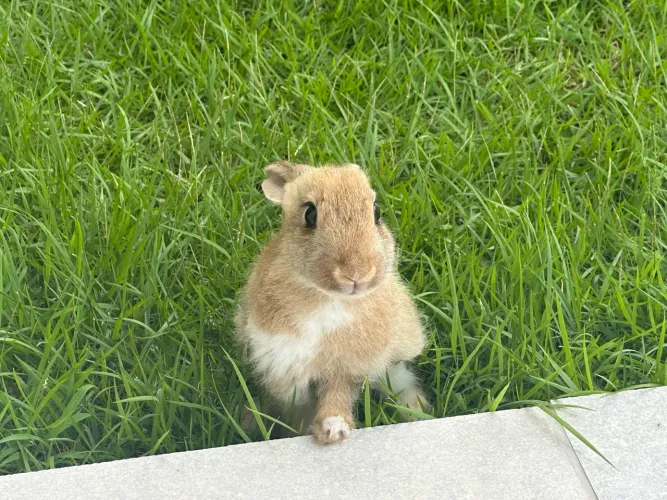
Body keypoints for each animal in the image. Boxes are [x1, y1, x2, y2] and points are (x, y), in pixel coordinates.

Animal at [235, 161, 430, 444]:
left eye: (376, 212)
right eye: (310, 215)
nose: (357, 274)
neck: (330, 299)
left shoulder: (347, 369)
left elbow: (337, 397)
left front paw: (333, 430)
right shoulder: (283, 366)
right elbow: (297, 408)